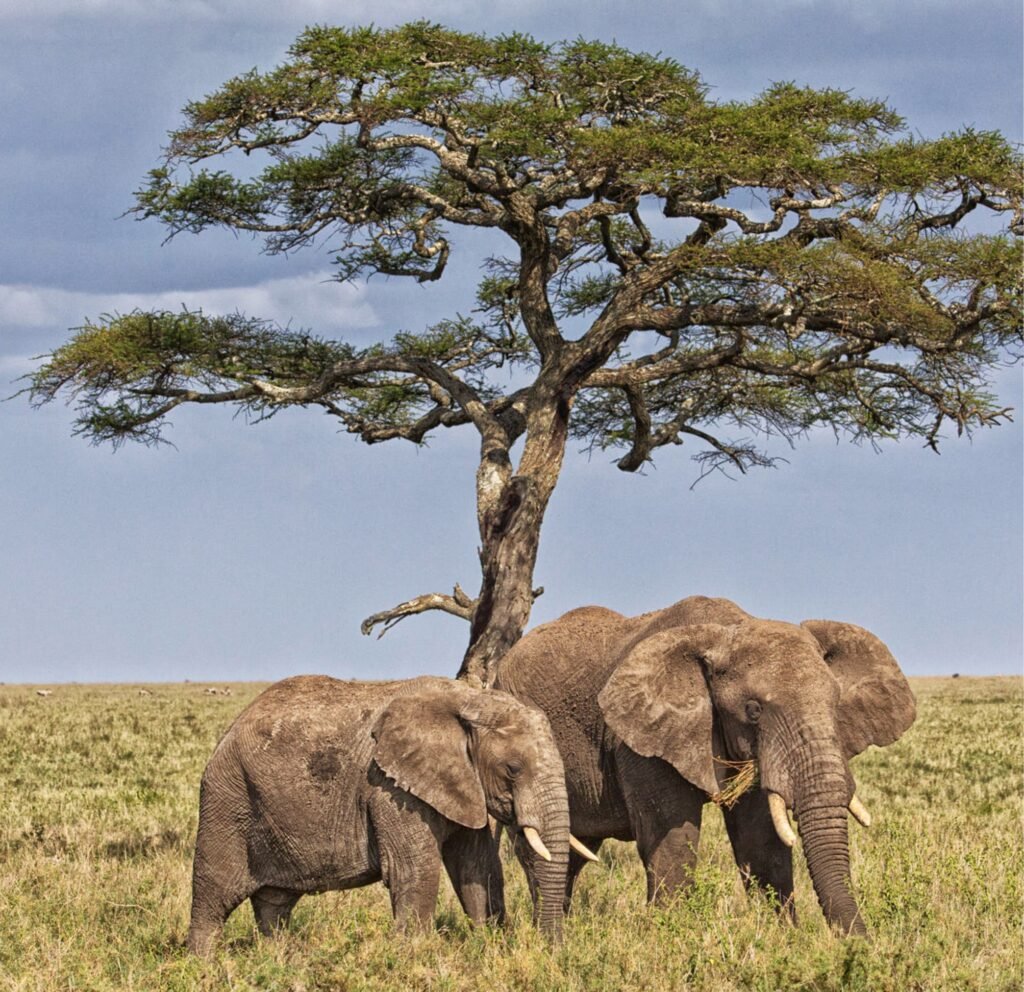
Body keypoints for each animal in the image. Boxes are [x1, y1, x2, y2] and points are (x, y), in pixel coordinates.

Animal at [187, 674, 584, 955]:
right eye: (513, 769)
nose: (551, 950)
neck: (468, 699)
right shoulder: (389, 788)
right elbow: (416, 870)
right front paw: (415, 958)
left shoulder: (464, 785)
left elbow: (477, 867)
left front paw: (491, 945)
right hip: (227, 799)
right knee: (213, 894)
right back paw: (203, 965)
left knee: (274, 904)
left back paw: (281, 961)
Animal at [493, 596, 916, 935]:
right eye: (754, 710)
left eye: (835, 702)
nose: (861, 942)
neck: (726, 631)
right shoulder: (640, 740)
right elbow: (672, 839)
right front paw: (672, 938)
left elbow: (760, 839)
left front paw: (782, 939)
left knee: (574, 854)